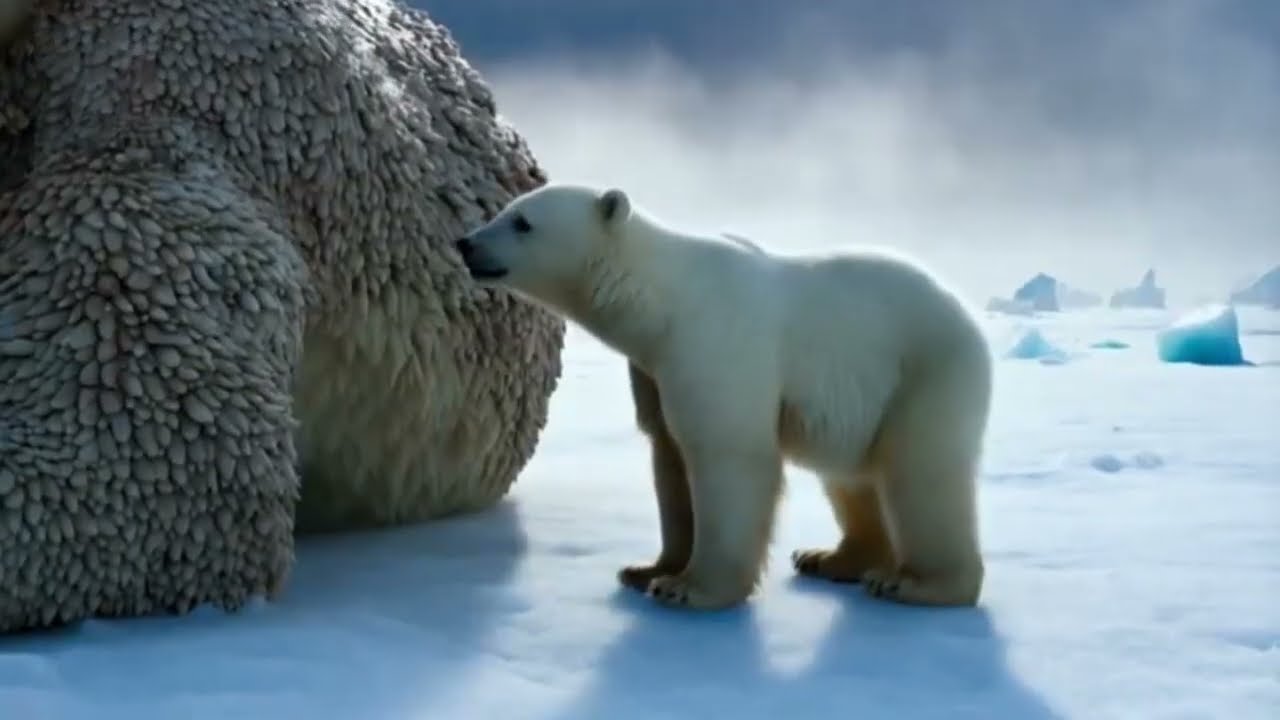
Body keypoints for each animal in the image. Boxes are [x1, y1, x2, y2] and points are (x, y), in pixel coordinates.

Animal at [456, 183, 994, 611]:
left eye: (522, 221)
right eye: (508, 209)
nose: (465, 243)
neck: (659, 301)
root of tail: (966, 314)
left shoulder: (712, 342)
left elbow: (726, 454)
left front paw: (691, 589)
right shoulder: (653, 370)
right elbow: (669, 458)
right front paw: (648, 570)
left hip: (925, 371)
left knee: (921, 472)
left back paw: (918, 582)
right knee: (850, 474)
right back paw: (832, 557)